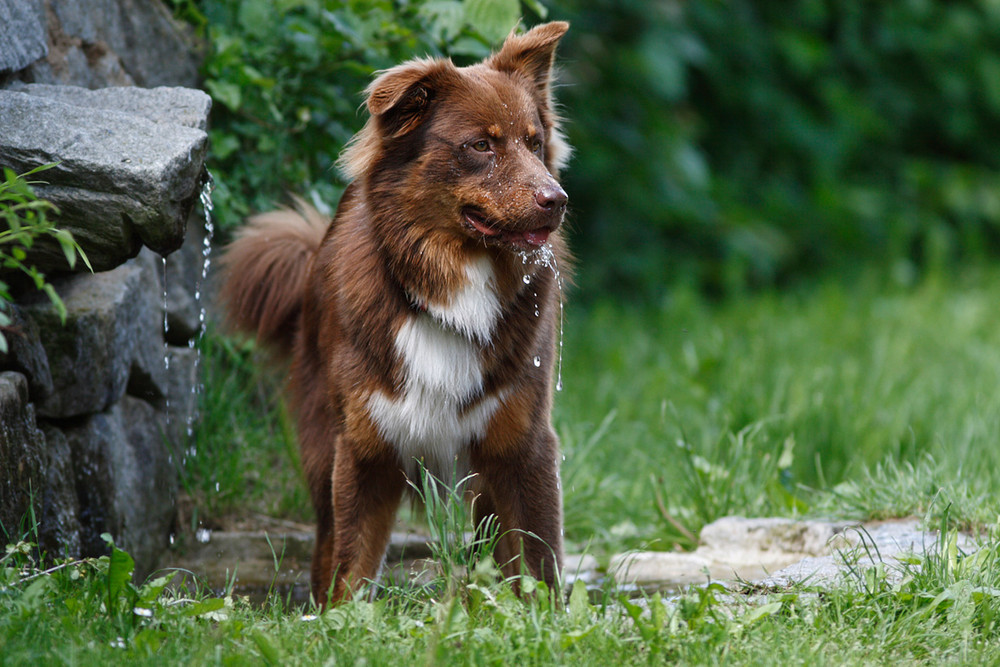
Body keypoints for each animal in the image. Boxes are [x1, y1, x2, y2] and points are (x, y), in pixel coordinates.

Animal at [224, 22, 576, 604]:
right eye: (480, 145)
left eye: (534, 142)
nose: (558, 199)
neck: (453, 288)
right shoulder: (365, 447)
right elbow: (351, 563)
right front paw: (340, 619)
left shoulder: (521, 441)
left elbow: (537, 561)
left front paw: (541, 618)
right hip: (322, 442)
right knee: (325, 542)